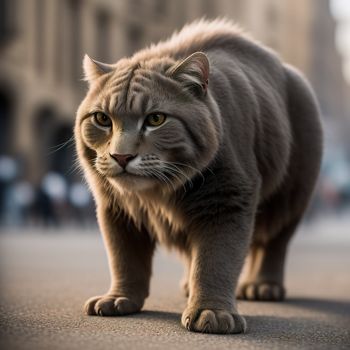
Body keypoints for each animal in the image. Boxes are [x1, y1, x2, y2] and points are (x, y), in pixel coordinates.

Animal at [74, 18, 322, 334]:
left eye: (156, 119)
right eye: (102, 119)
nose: (121, 156)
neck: (157, 193)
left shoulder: (227, 201)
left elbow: (216, 260)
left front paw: (211, 311)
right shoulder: (117, 209)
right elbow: (124, 258)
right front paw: (119, 298)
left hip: (290, 200)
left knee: (273, 244)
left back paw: (262, 285)